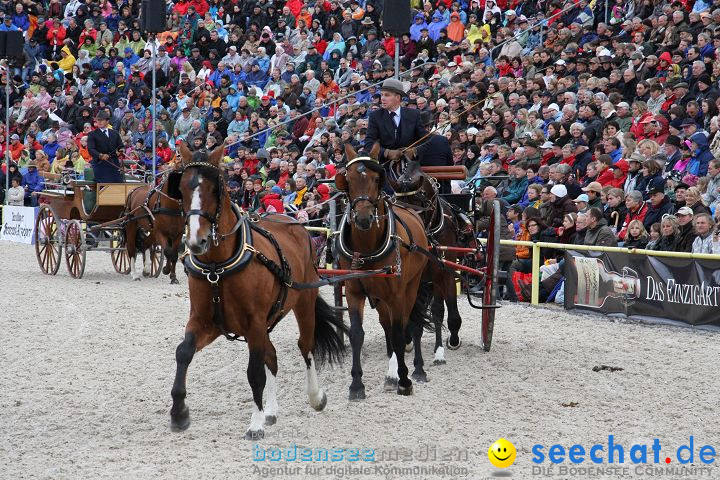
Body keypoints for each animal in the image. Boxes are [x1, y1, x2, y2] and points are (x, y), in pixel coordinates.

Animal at [172, 141, 346, 436]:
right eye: (182, 188)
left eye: (215, 189)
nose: (197, 241)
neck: (217, 268)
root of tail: (293, 223)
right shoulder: (205, 321)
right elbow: (183, 352)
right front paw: (178, 412)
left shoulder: (253, 322)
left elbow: (254, 372)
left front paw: (255, 423)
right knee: (272, 356)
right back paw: (271, 412)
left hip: (303, 302)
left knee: (305, 346)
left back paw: (315, 397)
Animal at [334, 144, 430, 400]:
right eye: (348, 179)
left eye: (377, 178)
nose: (363, 218)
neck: (367, 247)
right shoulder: (355, 291)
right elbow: (357, 334)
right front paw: (356, 384)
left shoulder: (397, 293)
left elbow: (399, 333)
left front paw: (404, 380)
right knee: (388, 324)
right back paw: (392, 370)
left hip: (413, 286)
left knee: (410, 324)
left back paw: (416, 368)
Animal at [394, 161, 472, 356]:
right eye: (395, 203)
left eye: (419, 201)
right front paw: (408, 339)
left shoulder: (444, 272)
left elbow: (444, 306)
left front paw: (452, 339)